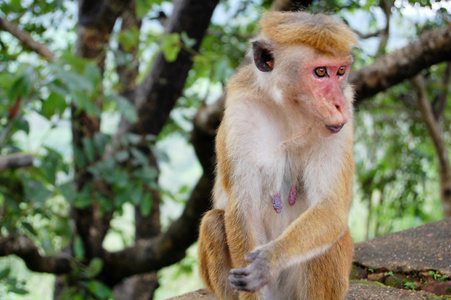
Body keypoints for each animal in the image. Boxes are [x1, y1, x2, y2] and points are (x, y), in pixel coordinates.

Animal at [200, 11, 358, 300]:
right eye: (320, 72)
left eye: (341, 71)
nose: (339, 104)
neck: (290, 111)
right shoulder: (240, 113)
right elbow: (243, 210)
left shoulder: (344, 124)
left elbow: (330, 208)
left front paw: (270, 259)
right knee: (213, 222)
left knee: (329, 235)